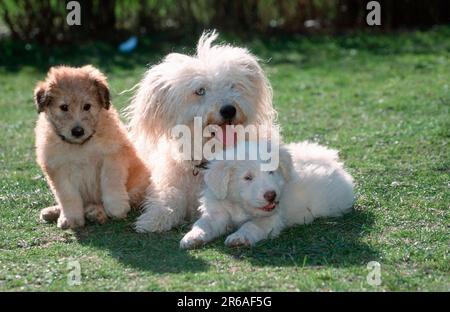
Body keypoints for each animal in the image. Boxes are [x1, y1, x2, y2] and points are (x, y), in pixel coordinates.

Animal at [33, 65, 149, 229]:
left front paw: (116, 207)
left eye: (87, 106)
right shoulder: (58, 169)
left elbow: (110, 182)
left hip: (139, 184)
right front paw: (71, 218)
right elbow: (67, 196)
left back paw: (96, 212)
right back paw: (54, 211)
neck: (82, 145)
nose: (77, 131)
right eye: (64, 107)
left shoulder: (112, 157)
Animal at [125, 31, 276, 232]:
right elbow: (167, 196)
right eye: (200, 91)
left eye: (232, 85)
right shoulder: (169, 180)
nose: (229, 110)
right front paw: (155, 218)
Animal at [180, 141, 356, 249]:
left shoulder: (271, 218)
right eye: (248, 178)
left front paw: (238, 238)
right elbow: (204, 224)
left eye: (271, 172)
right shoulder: (217, 212)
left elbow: (251, 225)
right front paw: (192, 237)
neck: (241, 208)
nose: (271, 195)